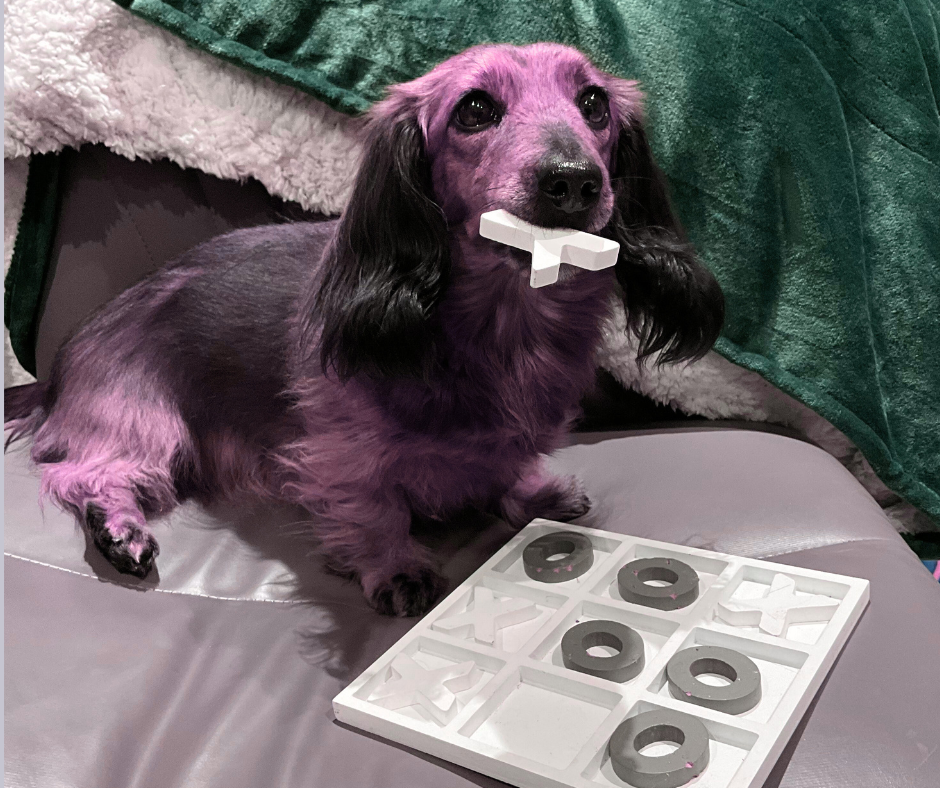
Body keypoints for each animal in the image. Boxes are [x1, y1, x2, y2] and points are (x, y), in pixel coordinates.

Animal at [4, 43, 724, 616]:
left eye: (594, 103)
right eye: (474, 109)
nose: (574, 181)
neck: (501, 325)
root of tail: (59, 372)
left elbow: (506, 466)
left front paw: (528, 491)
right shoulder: (341, 453)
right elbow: (372, 507)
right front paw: (394, 565)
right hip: (145, 422)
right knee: (84, 472)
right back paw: (116, 528)